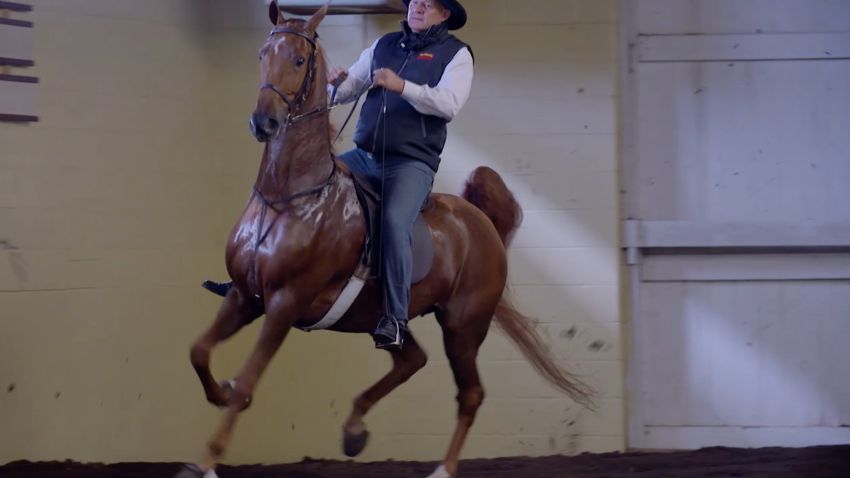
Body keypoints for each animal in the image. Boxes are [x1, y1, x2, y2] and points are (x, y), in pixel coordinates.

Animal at [179, 3, 588, 478]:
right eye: (263, 54)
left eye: (298, 60)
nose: (263, 122)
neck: (289, 197)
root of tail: (482, 222)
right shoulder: (245, 295)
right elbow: (199, 350)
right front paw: (219, 393)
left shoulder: (284, 303)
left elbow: (247, 382)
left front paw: (205, 459)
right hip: (386, 315)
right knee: (413, 360)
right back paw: (354, 429)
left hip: (463, 327)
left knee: (470, 394)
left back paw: (442, 468)